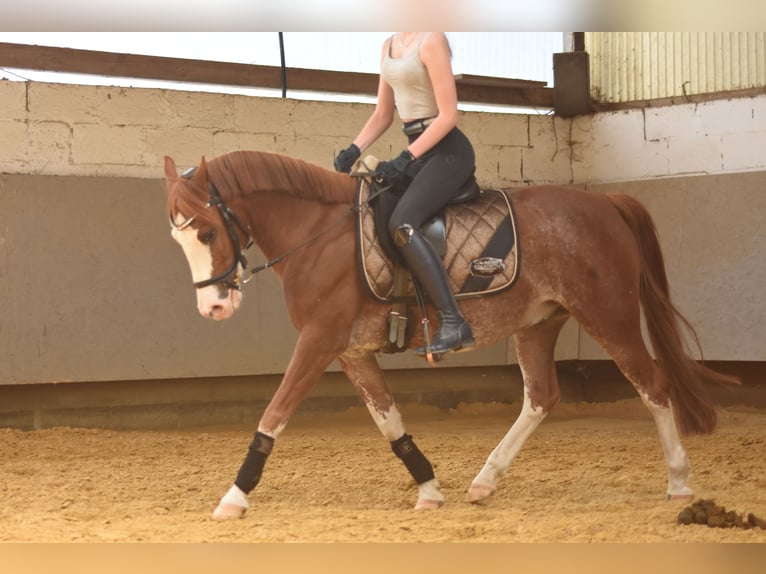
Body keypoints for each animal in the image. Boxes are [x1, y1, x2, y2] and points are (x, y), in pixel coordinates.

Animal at [164, 151, 736, 520]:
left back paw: (679, 482)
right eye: (178, 238)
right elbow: (390, 422)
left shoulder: (319, 341)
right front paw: (430, 488)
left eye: (207, 232)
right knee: (541, 396)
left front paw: (234, 497)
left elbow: (274, 413)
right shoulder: (350, 352)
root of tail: (605, 202)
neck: (318, 235)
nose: (214, 306)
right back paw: (485, 481)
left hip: (609, 315)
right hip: (538, 324)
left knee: (653, 385)